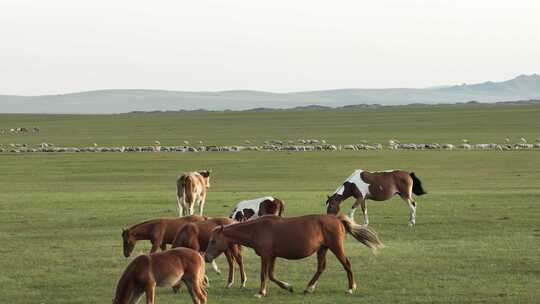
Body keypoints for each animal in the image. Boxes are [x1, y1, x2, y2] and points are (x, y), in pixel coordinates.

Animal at [204, 214, 384, 296]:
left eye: (213, 241)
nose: (206, 258)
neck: (257, 229)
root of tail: (337, 219)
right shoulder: (272, 256)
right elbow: (271, 275)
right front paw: (288, 286)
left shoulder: (266, 256)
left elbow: (264, 275)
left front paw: (261, 292)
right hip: (323, 249)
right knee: (321, 267)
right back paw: (309, 287)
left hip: (335, 247)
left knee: (347, 264)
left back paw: (350, 288)